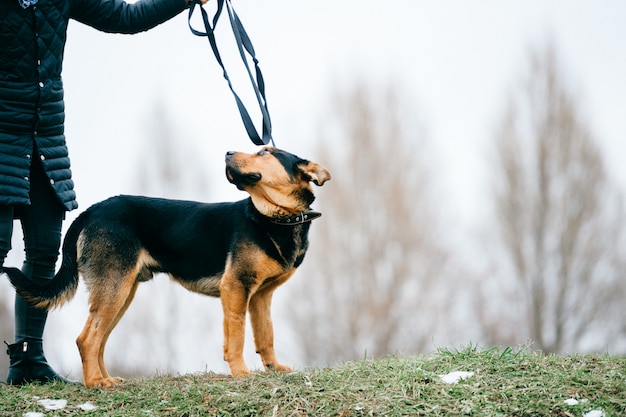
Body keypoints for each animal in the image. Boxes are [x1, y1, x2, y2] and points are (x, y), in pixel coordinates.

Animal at [3, 147, 332, 386]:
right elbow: (236, 338)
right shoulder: (235, 287)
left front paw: (274, 368)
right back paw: (96, 383)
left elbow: (266, 336)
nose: (227, 152)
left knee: (98, 340)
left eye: (266, 152)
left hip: (122, 292)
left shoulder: (261, 296)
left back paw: (106, 379)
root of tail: (91, 211)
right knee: (86, 339)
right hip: (114, 289)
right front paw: (241, 373)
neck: (275, 216)